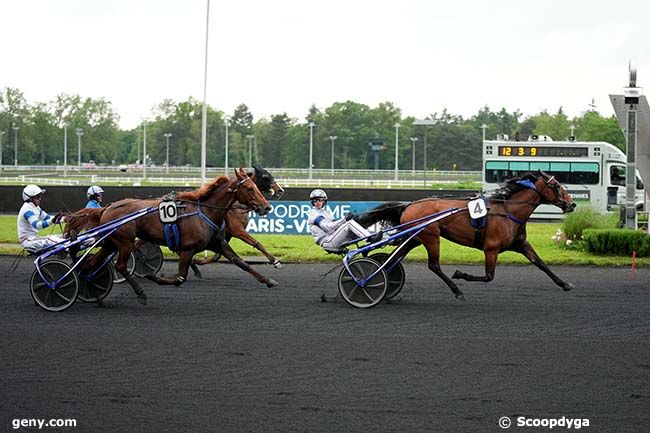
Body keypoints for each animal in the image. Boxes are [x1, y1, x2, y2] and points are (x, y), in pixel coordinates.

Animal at [66, 166, 268, 304]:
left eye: (255, 186)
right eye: (250, 188)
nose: (266, 207)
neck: (204, 211)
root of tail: (107, 208)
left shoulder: (217, 243)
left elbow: (240, 262)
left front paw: (268, 280)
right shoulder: (187, 249)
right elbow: (180, 278)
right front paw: (154, 276)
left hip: (111, 242)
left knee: (91, 264)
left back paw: (91, 290)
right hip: (124, 242)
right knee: (120, 265)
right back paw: (140, 293)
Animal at [350, 169, 576, 304]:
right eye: (556, 186)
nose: (572, 204)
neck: (508, 211)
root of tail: (409, 205)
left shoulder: (521, 244)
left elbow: (542, 264)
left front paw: (565, 284)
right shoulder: (491, 249)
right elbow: (488, 276)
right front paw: (460, 274)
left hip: (415, 238)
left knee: (393, 259)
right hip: (431, 237)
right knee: (433, 265)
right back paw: (456, 290)